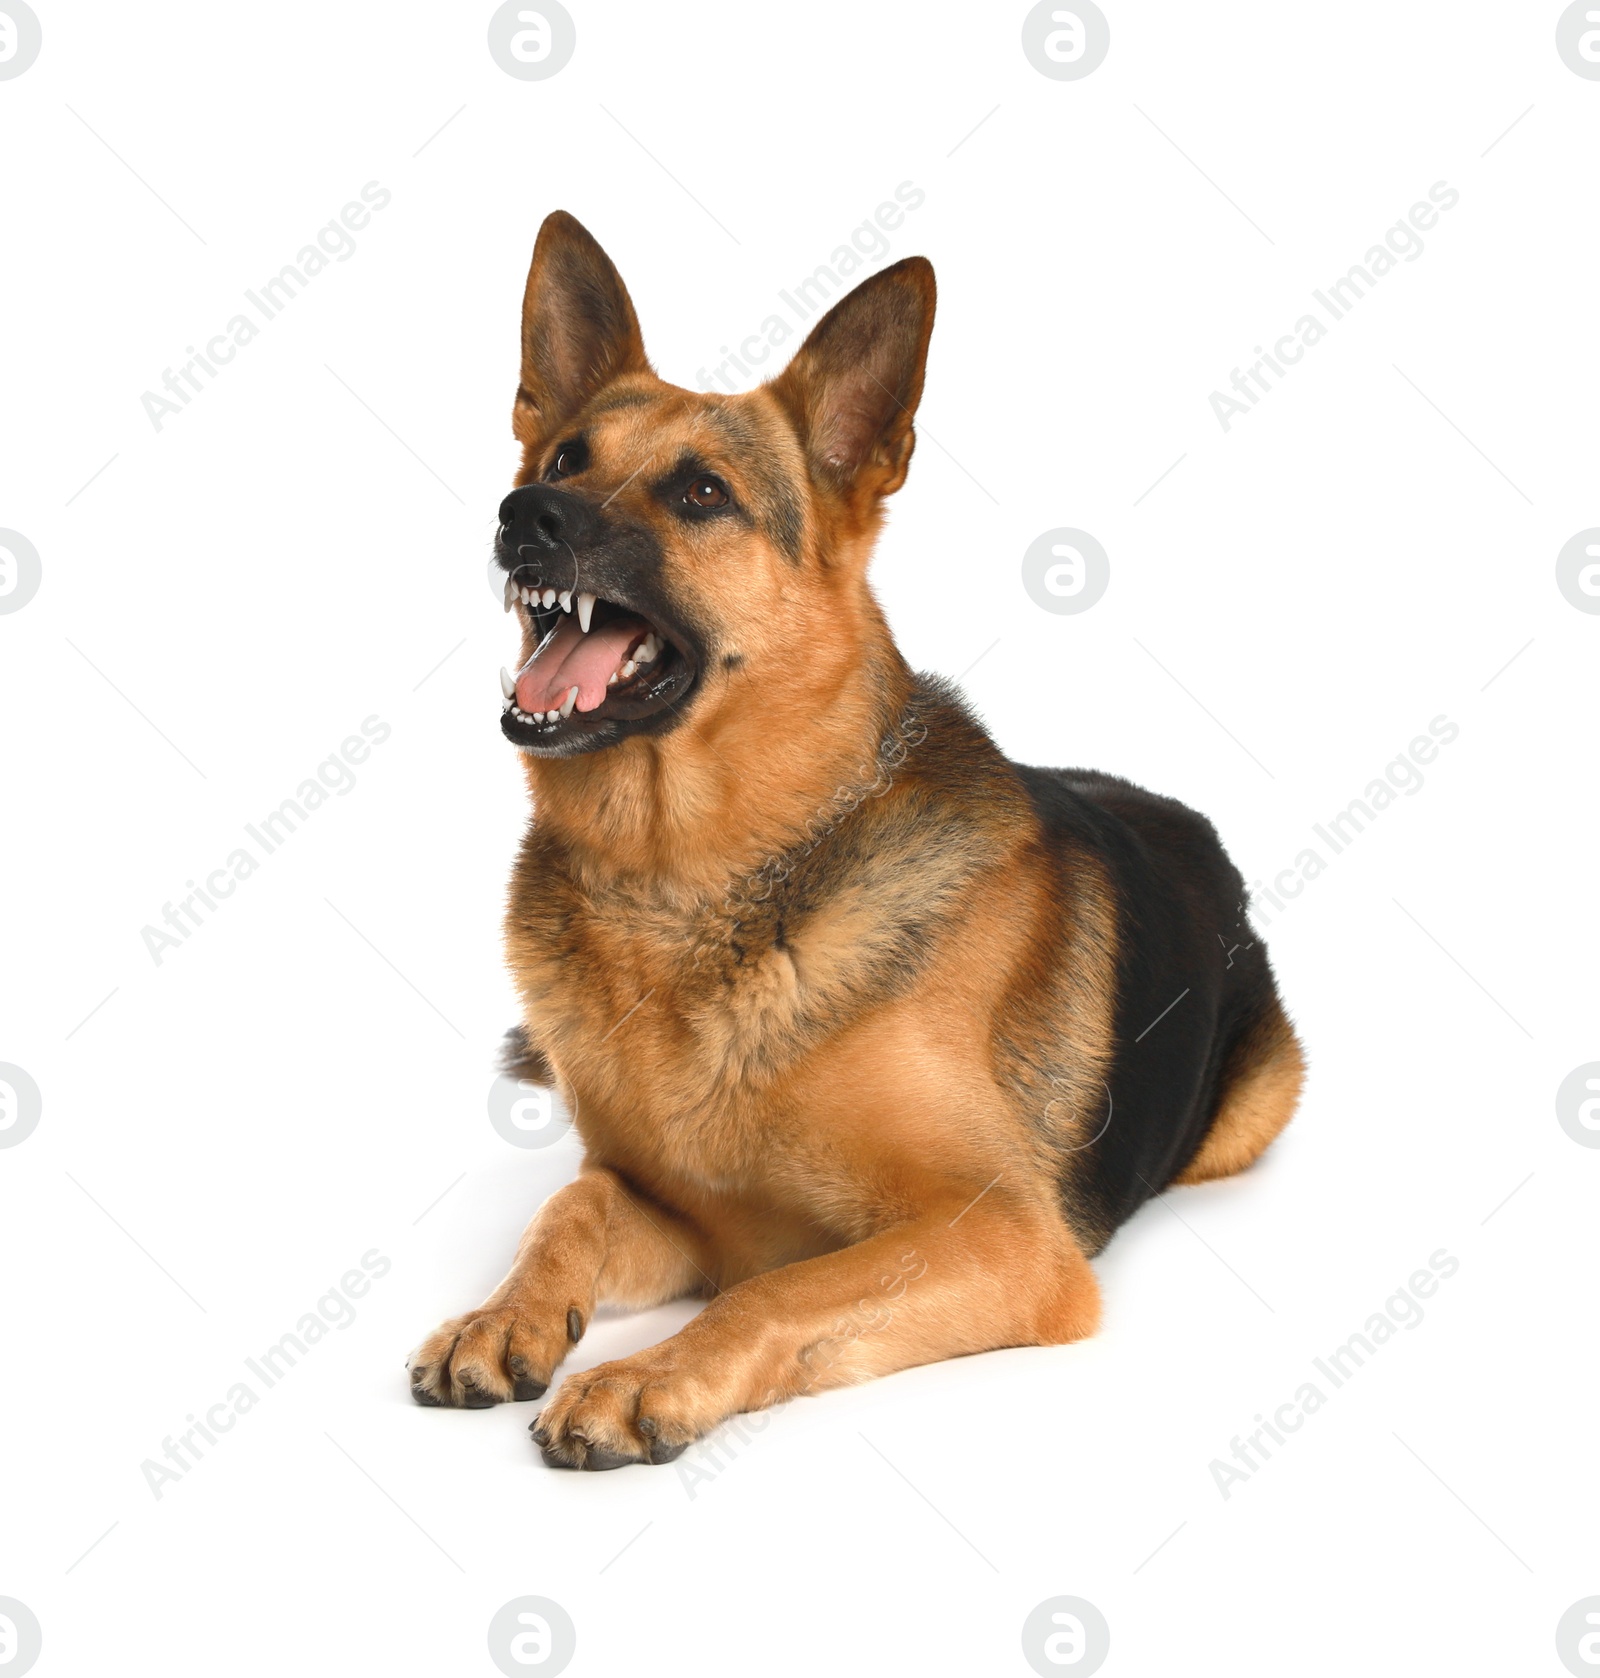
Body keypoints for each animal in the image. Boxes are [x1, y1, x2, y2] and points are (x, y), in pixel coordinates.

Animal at [405, 213, 1301, 1469]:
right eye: (564, 461)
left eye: (701, 492)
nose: (523, 515)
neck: (685, 885)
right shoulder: (669, 1204)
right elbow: (564, 1206)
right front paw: (503, 1313)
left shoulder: (1002, 1235)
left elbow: (773, 1291)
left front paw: (644, 1376)